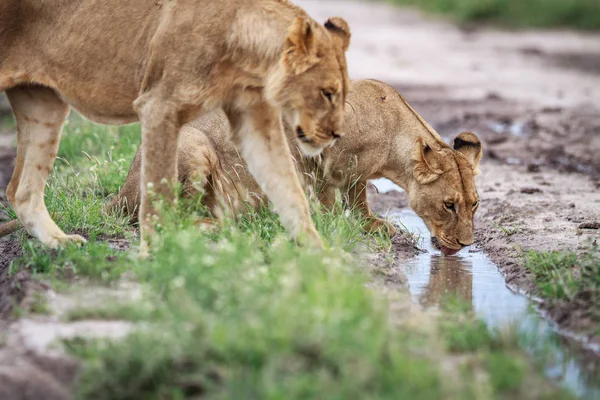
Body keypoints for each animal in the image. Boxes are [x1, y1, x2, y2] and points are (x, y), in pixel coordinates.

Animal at [0, 0, 350, 250]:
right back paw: (219, 228)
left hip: (43, 103)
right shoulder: (157, 106)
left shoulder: (254, 119)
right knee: (176, 213)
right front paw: (156, 261)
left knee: (20, 190)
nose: (336, 134)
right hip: (193, 142)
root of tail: (120, 194)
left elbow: (289, 190)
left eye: (341, 93)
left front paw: (321, 256)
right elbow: (158, 200)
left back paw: (59, 242)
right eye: (327, 93)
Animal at [104, 80, 482, 256]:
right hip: (192, 144)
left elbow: (358, 197)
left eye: (475, 205)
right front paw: (346, 227)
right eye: (449, 205)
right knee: (166, 219)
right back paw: (225, 225)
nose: (466, 244)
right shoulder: (326, 160)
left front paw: (373, 225)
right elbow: (340, 201)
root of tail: (119, 194)